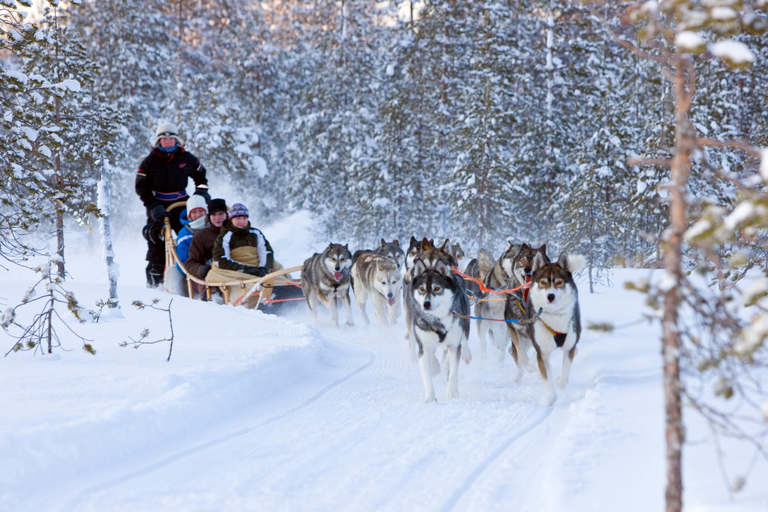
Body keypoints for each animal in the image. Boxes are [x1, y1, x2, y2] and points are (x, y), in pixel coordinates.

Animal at [412, 258, 472, 402]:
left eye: (437, 288)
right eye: (421, 289)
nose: (426, 304)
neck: (438, 319)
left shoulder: (454, 344)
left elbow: (454, 371)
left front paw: (452, 392)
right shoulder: (423, 346)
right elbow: (427, 375)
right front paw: (430, 397)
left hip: (465, 321)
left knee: (463, 341)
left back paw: (463, 355)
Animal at [524, 252, 584, 404]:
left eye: (559, 282)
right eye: (543, 282)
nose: (550, 296)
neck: (554, 315)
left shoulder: (569, 347)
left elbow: (564, 378)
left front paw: (558, 382)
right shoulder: (543, 352)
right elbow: (546, 376)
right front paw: (550, 397)